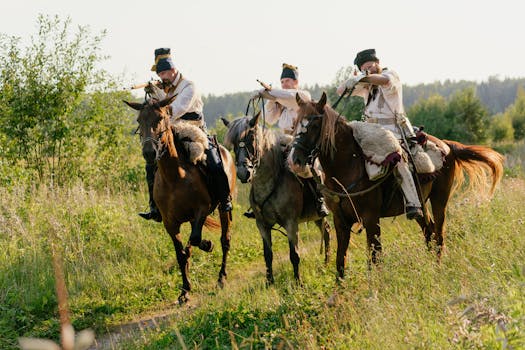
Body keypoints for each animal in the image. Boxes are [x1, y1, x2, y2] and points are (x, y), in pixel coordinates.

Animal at [124, 96, 234, 304]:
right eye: (139, 120)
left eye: (160, 118)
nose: (149, 153)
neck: (175, 176)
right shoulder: (170, 223)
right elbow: (181, 254)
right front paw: (185, 291)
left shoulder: (202, 209)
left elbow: (196, 239)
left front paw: (207, 244)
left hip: (223, 210)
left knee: (225, 240)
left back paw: (222, 278)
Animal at [286, 91, 504, 280]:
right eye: (295, 124)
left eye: (315, 125)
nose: (294, 161)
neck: (348, 166)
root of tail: (447, 145)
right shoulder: (341, 221)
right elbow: (341, 261)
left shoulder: (371, 219)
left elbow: (375, 258)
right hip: (421, 205)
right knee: (429, 232)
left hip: (439, 200)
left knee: (439, 236)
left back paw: (438, 269)